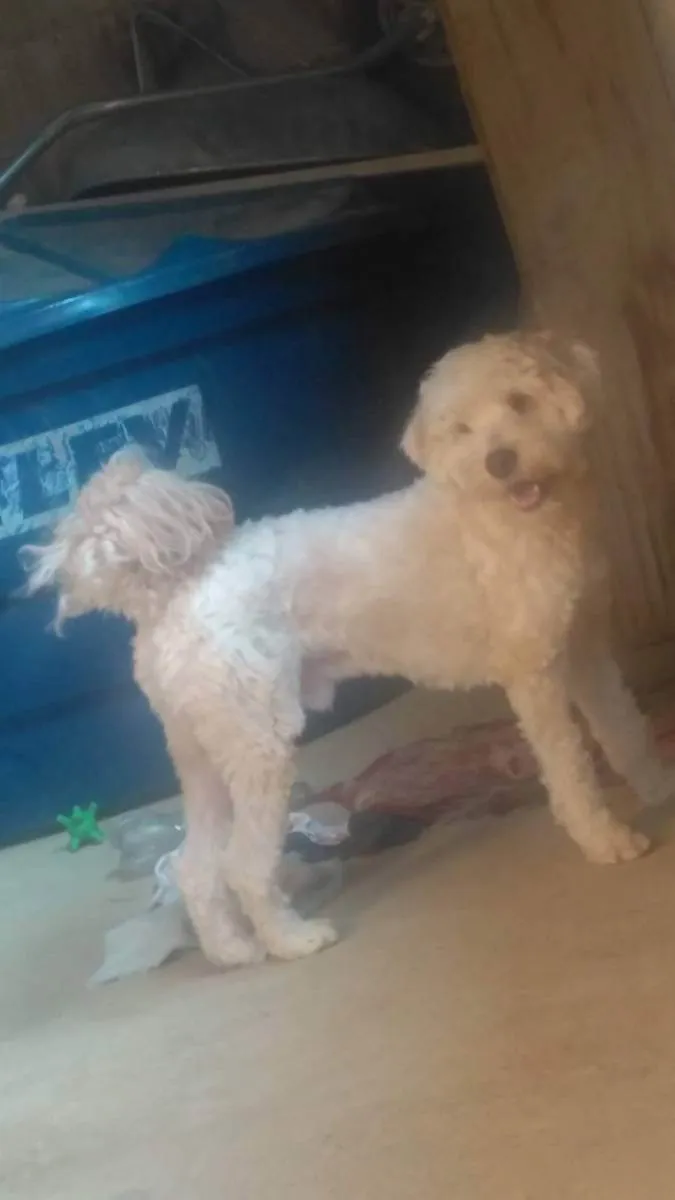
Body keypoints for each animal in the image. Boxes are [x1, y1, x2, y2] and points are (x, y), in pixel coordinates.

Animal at [23, 330, 674, 967]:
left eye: (520, 402)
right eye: (461, 430)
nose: (500, 461)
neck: (504, 513)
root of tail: (169, 593)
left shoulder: (588, 653)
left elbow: (626, 733)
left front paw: (660, 788)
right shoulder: (537, 677)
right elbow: (572, 771)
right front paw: (606, 840)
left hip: (205, 755)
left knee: (197, 870)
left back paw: (233, 949)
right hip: (260, 747)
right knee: (243, 867)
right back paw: (291, 941)